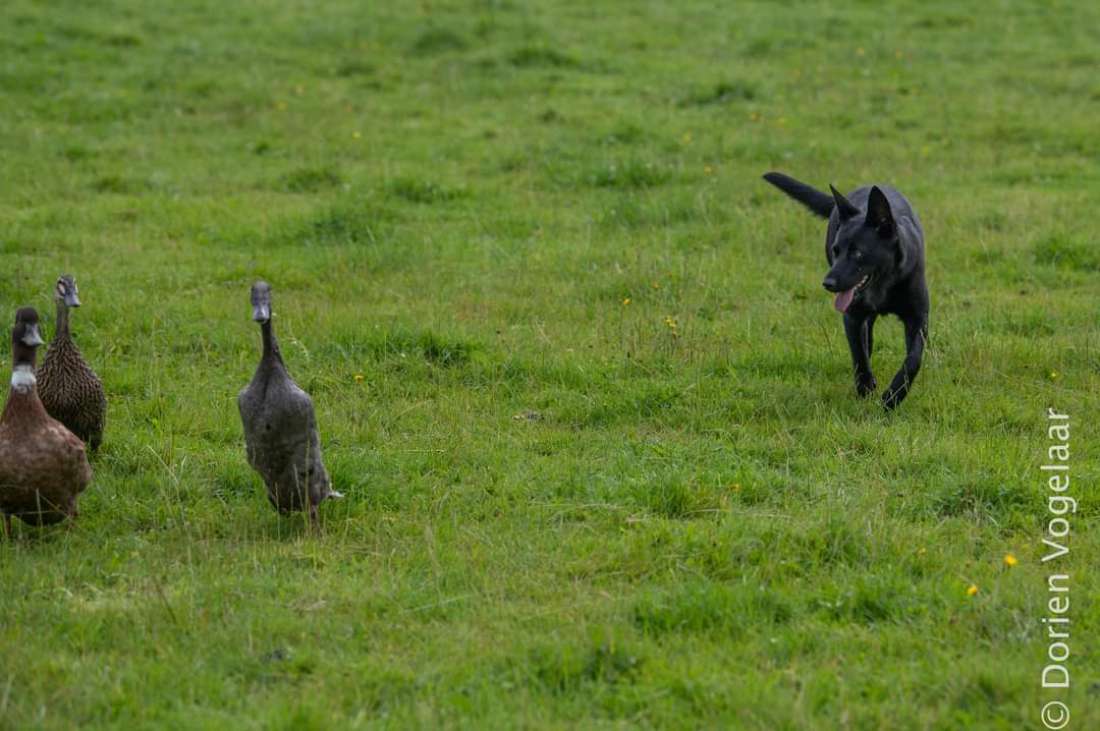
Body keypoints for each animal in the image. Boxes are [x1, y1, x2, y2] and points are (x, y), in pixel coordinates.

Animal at [765, 172, 928, 411]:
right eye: (837, 251)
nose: (827, 283)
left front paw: (892, 397)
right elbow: (858, 354)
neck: (883, 285)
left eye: (857, 253)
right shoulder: (852, 316)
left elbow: (913, 360)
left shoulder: (918, 318)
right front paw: (866, 388)